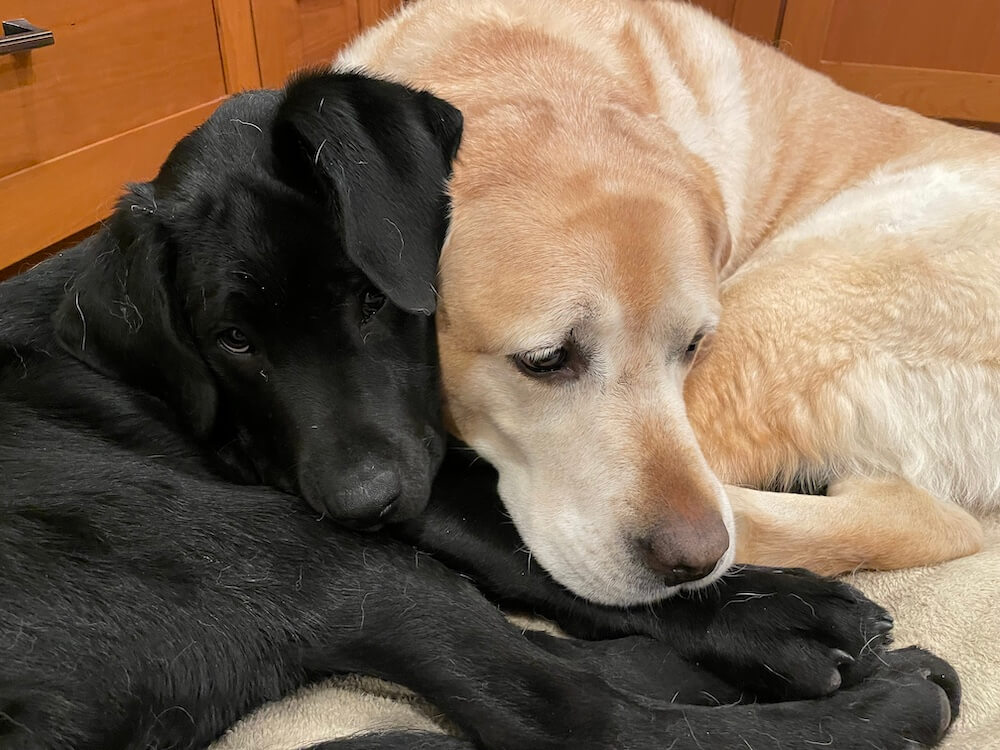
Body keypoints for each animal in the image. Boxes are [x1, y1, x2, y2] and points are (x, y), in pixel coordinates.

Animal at [0, 72, 956, 750]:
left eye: (368, 296)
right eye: (232, 339)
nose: (365, 503)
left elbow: (527, 544)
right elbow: (530, 545)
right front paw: (785, 614)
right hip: (292, 552)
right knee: (576, 716)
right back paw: (877, 703)